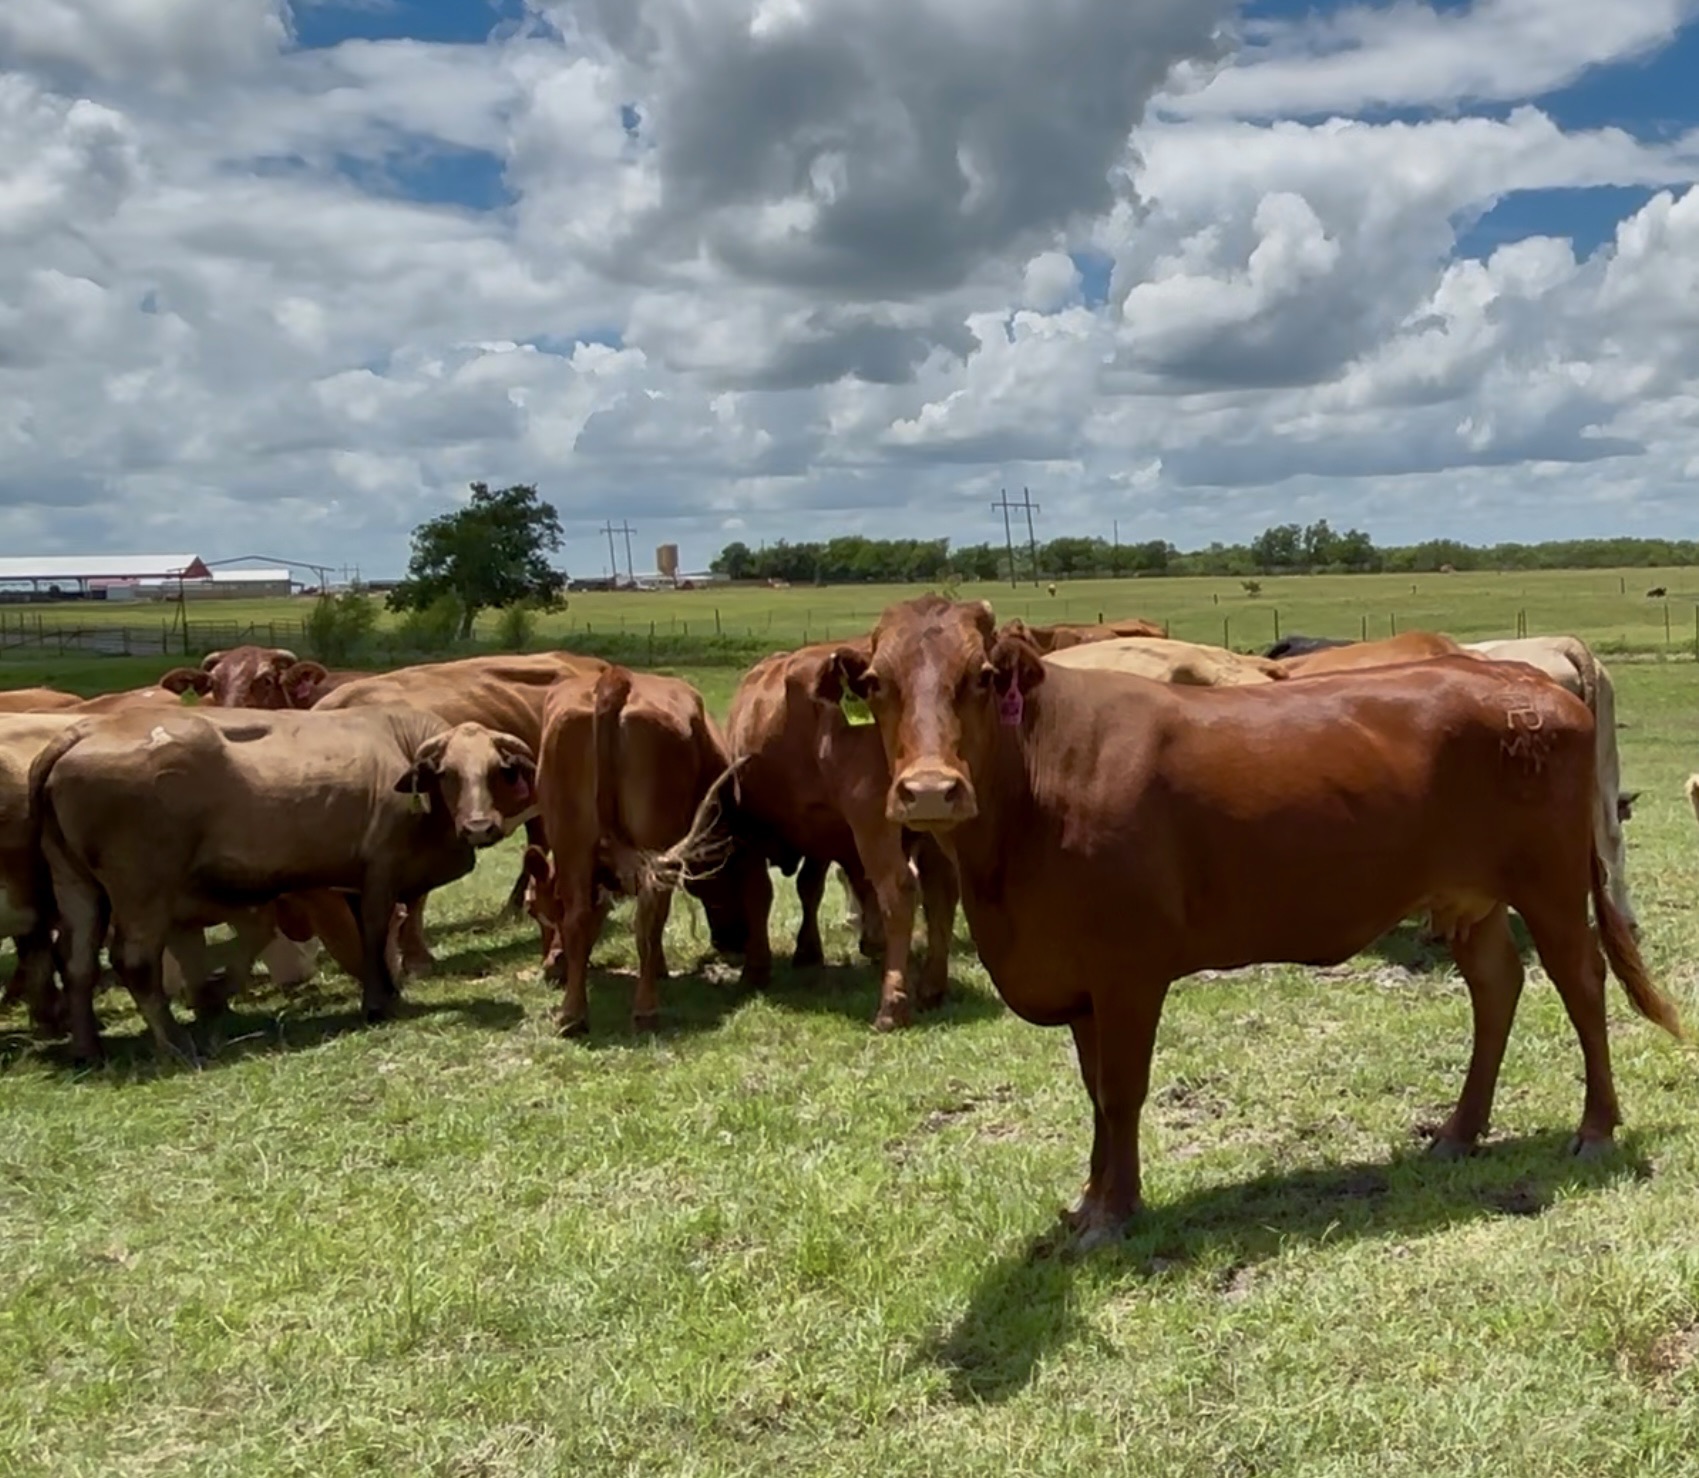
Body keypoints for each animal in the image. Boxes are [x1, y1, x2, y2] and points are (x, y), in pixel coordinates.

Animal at [30, 705, 535, 1063]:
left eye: (497, 769)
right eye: (447, 773)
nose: (478, 826)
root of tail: (84, 731)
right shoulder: (380, 873)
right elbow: (373, 934)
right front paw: (377, 1002)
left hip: (77, 886)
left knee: (77, 964)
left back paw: (88, 1050)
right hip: (142, 890)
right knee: (133, 961)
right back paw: (175, 1043)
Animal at [519, 665, 767, 1036]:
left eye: (532, 909)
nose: (551, 967)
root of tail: (616, 679)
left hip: (572, 840)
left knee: (581, 917)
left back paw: (573, 1014)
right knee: (649, 918)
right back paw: (644, 1009)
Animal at [724, 642, 959, 1031]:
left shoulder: (752, 831)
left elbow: (760, 893)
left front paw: (756, 969)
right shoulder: (822, 837)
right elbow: (810, 888)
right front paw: (810, 950)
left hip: (876, 823)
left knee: (900, 890)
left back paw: (892, 1006)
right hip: (934, 822)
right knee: (941, 892)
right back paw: (931, 988)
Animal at [825, 595, 1680, 1249]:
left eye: (979, 678)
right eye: (875, 682)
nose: (928, 790)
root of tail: (1523, 678)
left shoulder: (1127, 970)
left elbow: (1120, 1091)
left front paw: (1111, 1214)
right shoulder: (1078, 979)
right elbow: (1094, 1091)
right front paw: (1093, 1199)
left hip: (1549, 884)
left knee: (1581, 982)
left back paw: (1595, 1129)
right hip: (1468, 898)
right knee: (1497, 987)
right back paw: (1456, 1132)